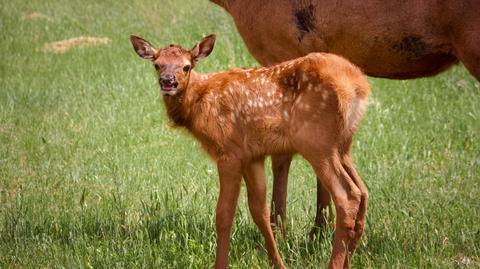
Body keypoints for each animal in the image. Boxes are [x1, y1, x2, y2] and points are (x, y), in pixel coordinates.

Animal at [129, 33, 370, 268]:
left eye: (186, 66)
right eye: (157, 64)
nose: (168, 82)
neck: (199, 104)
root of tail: (358, 86)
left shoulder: (229, 152)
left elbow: (224, 213)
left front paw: (221, 264)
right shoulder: (253, 156)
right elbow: (259, 211)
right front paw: (278, 264)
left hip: (317, 142)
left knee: (348, 196)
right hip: (343, 146)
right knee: (363, 191)